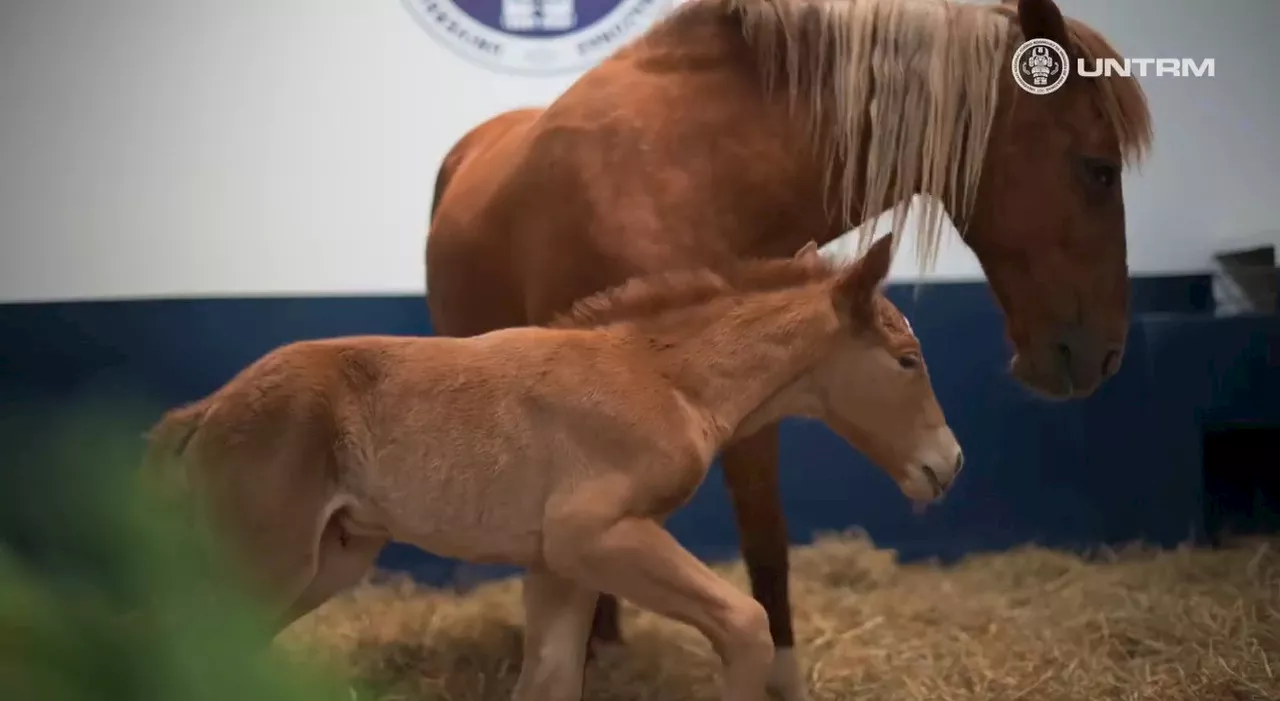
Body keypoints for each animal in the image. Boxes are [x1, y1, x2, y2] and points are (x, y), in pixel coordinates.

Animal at [145, 234, 962, 701]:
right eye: (906, 360)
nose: (948, 464)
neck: (666, 379)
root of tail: (209, 408)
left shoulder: (558, 562)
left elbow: (550, 679)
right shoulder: (592, 534)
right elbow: (746, 623)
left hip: (330, 560)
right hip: (267, 561)